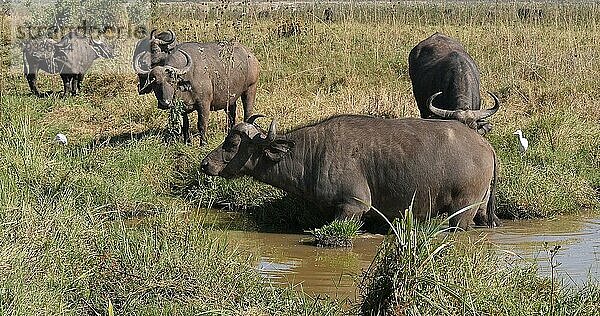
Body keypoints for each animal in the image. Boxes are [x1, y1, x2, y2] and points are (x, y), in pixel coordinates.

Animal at [199, 115, 500, 228]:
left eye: (232, 143)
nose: (205, 164)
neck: (312, 154)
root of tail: (485, 145)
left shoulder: (353, 207)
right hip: (482, 211)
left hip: (461, 211)